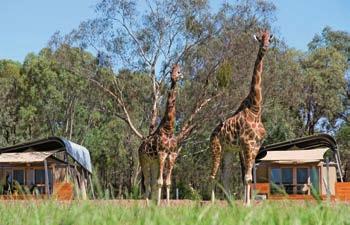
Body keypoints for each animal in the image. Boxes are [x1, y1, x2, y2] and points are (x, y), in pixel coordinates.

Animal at [139, 64, 183, 205]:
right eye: (170, 71)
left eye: (179, 71)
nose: (174, 78)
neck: (168, 129)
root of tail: (140, 147)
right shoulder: (162, 154)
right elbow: (160, 182)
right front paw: (158, 205)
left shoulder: (172, 155)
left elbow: (167, 182)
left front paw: (167, 205)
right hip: (144, 160)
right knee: (147, 182)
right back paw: (148, 205)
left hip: (153, 162)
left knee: (152, 183)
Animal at [209, 30, 272, 206]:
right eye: (260, 39)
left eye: (269, 38)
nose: (264, 47)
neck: (256, 109)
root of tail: (211, 134)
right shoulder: (247, 145)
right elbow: (247, 177)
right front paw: (246, 204)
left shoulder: (255, 146)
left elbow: (247, 177)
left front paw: (246, 204)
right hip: (216, 148)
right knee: (212, 176)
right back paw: (212, 203)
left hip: (229, 151)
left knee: (226, 178)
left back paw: (230, 204)